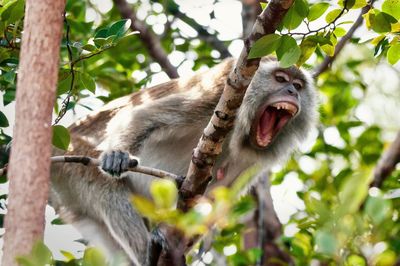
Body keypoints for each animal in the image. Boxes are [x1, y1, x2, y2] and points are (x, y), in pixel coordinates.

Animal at [50, 57, 318, 264]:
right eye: (280, 79)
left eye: (298, 85)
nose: (292, 92)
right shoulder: (218, 98)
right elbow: (140, 117)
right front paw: (117, 154)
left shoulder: (253, 161)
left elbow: (220, 194)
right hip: (71, 160)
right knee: (106, 187)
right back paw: (148, 253)